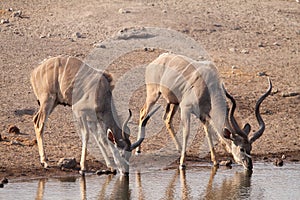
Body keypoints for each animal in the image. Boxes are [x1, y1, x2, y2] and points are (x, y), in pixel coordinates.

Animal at [138, 53, 272, 170]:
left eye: (250, 148)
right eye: (241, 149)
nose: (249, 165)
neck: (208, 86)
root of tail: (158, 59)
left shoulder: (203, 115)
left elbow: (208, 132)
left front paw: (215, 161)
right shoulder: (186, 108)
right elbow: (187, 132)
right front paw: (182, 163)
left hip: (173, 103)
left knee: (167, 119)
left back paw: (179, 149)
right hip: (154, 94)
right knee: (143, 113)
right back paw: (138, 150)